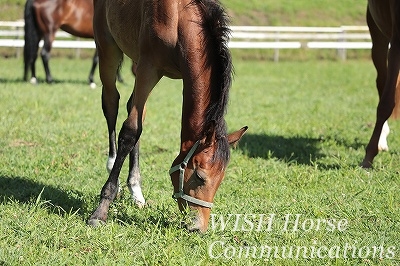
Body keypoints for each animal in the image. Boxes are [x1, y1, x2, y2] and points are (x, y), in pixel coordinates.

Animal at [87, 0, 247, 231]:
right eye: (200, 176)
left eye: (221, 178)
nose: (199, 227)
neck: (178, 18)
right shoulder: (148, 68)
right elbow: (130, 131)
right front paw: (101, 210)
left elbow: (136, 125)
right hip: (108, 49)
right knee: (111, 103)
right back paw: (112, 162)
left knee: (132, 108)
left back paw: (136, 190)